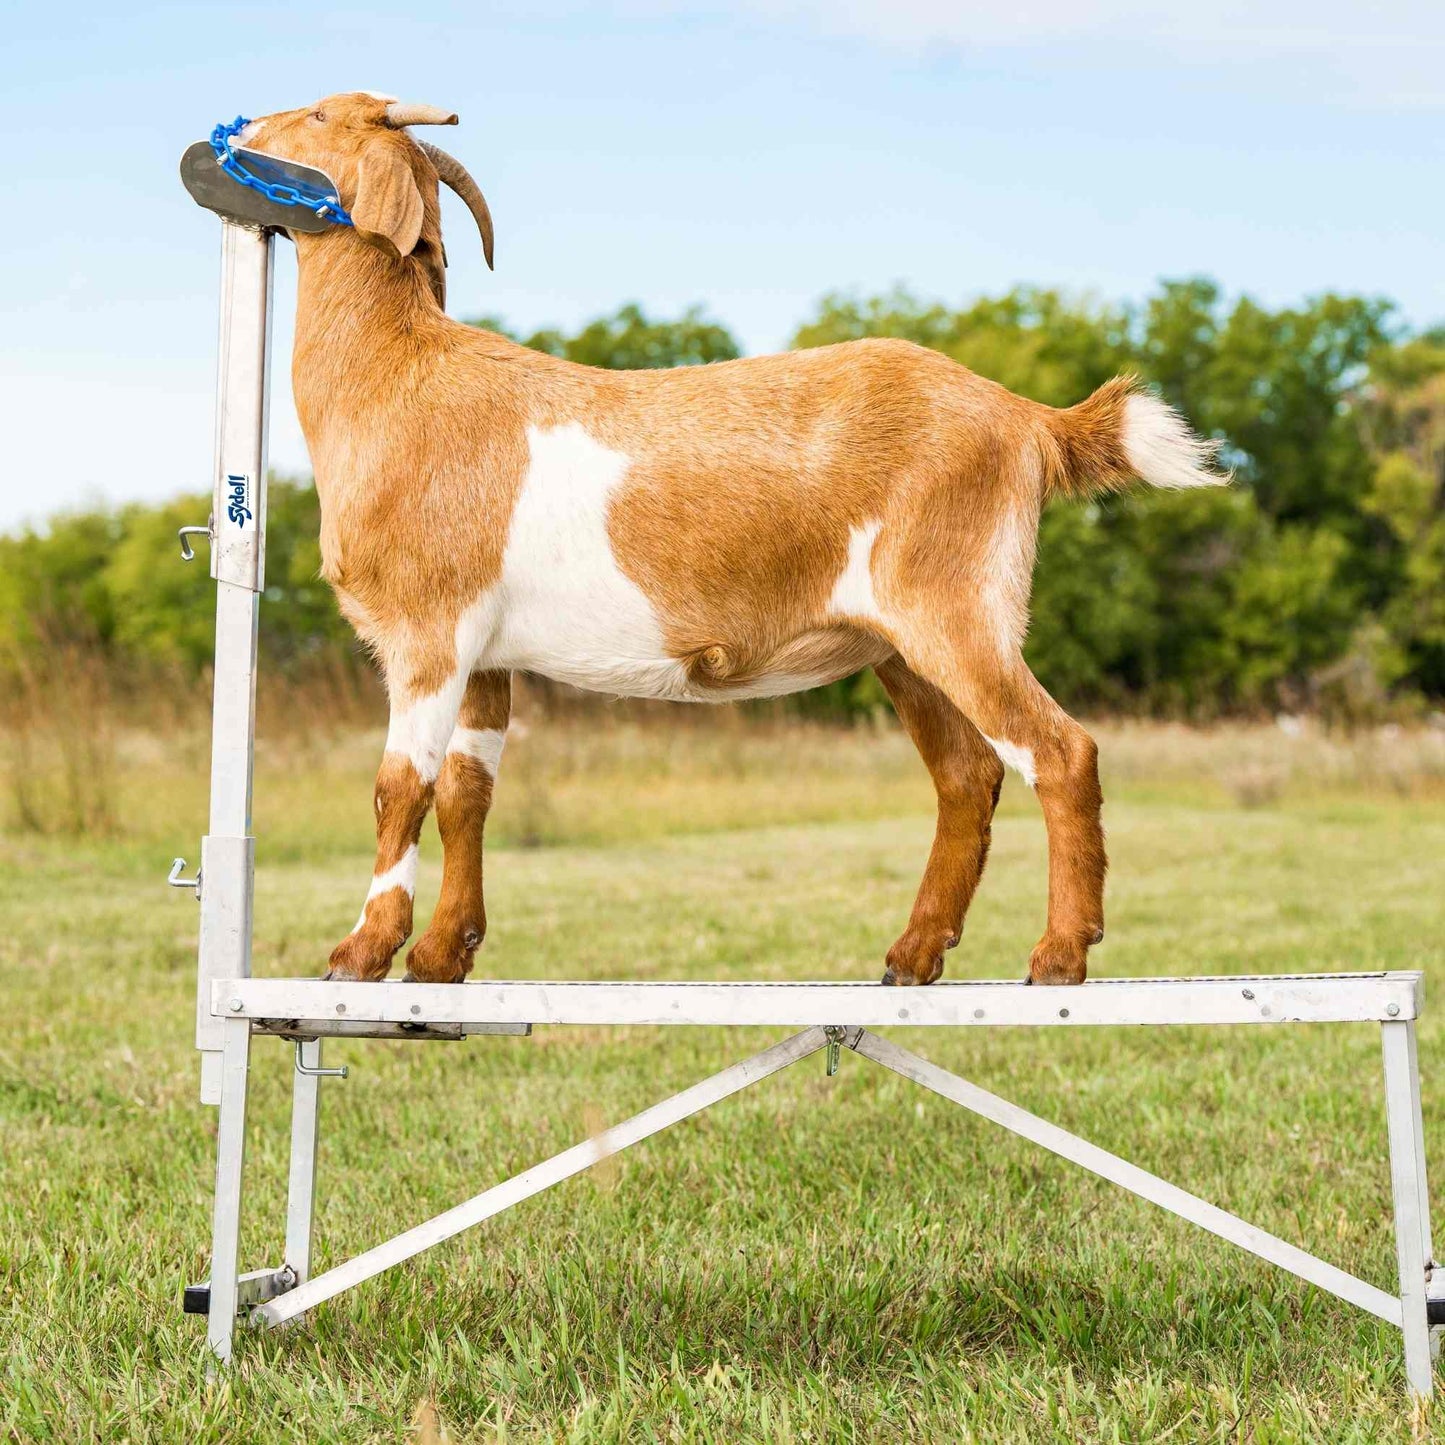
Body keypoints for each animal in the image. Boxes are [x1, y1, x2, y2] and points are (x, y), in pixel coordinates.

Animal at [236, 92, 1226, 989]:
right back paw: (912, 956)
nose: (241, 127)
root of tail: (1026, 418)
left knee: (1057, 751)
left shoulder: (428, 631)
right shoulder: (487, 652)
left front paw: (361, 953)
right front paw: (443, 958)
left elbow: (398, 787)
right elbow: (466, 794)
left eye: (320, 116)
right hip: (901, 644)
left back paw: (1059, 957)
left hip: (957, 604)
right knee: (965, 771)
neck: (399, 377)